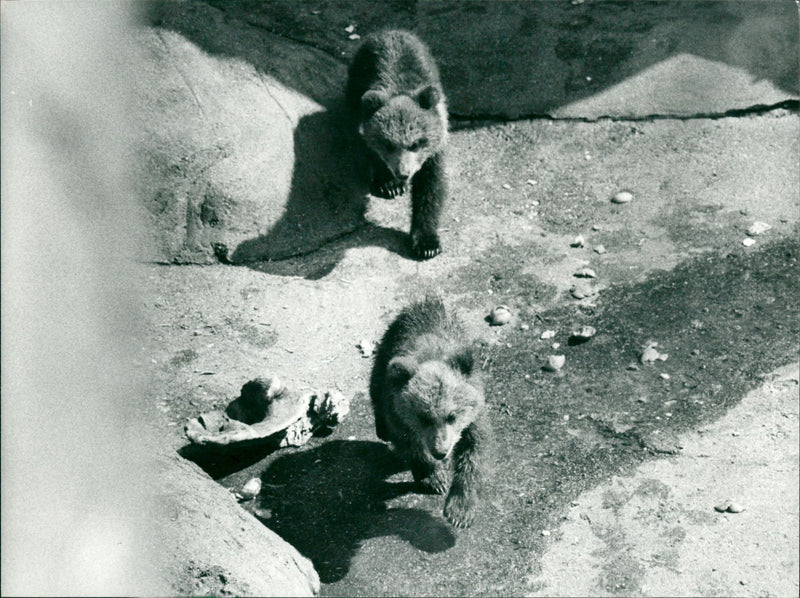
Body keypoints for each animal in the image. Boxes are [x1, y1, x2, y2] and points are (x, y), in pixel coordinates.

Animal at [346, 30, 449, 260]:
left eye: (417, 143)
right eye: (388, 144)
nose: (403, 173)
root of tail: (388, 31)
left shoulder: (434, 152)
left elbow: (431, 188)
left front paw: (427, 243)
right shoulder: (367, 127)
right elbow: (372, 152)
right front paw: (389, 185)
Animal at [369, 296, 493, 528]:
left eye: (452, 416)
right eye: (423, 417)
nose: (440, 451)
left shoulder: (474, 417)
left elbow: (474, 452)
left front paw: (460, 510)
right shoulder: (398, 414)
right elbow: (410, 445)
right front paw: (434, 478)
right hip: (386, 355)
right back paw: (380, 428)